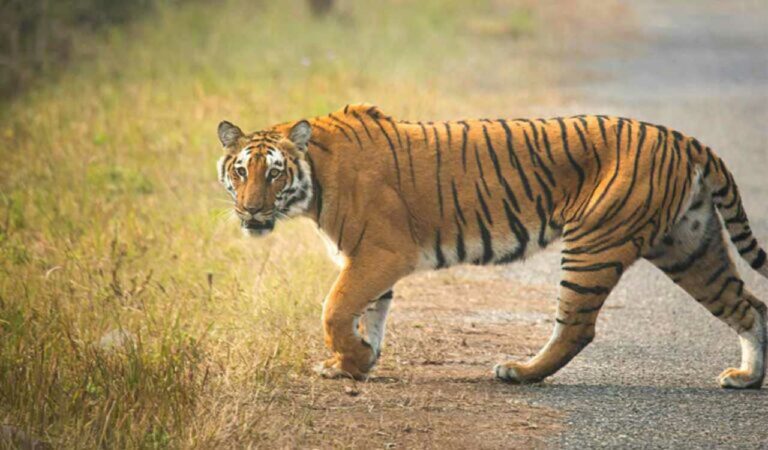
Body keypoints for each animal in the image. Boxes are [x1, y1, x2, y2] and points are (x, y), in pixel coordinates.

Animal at [215, 104, 768, 389]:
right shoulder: (368, 260)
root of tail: (685, 139)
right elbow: (369, 312)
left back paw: (519, 372)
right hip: (689, 246)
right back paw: (746, 377)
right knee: (749, 306)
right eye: (240, 171)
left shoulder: (381, 253)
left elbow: (334, 308)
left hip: (594, 244)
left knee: (577, 327)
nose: (250, 211)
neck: (315, 178)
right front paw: (358, 363)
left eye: (273, 173)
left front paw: (348, 360)